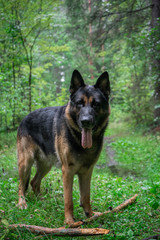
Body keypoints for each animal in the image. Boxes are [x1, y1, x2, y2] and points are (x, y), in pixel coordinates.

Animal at [16, 70, 110, 225]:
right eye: (79, 103)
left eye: (96, 104)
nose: (85, 121)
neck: (77, 137)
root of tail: (25, 118)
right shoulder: (68, 171)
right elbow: (68, 200)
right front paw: (70, 221)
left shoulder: (87, 172)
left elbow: (86, 197)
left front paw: (90, 215)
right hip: (26, 162)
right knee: (21, 185)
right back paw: (22, 203)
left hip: (45, 165)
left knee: (34, 182)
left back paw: (41, 201)